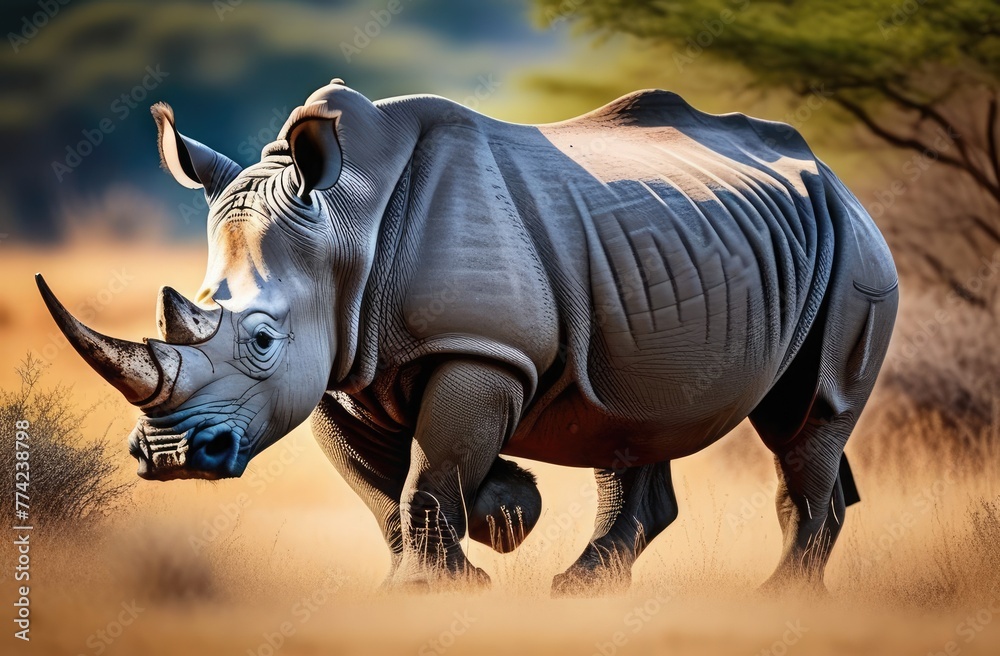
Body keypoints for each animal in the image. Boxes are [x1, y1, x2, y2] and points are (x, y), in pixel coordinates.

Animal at [37, 79, 897, 594]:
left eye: (262, 341)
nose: (173, 457)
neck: (345, 222)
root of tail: (835, 175)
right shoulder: (339, 367)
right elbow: (380, 487)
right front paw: (495, 526)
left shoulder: (478, 351)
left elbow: (429, 473)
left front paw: (450, 572)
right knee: (636, 412)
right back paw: (580, 592)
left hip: (854, 251)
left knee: (808, 418)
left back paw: (780, 598)